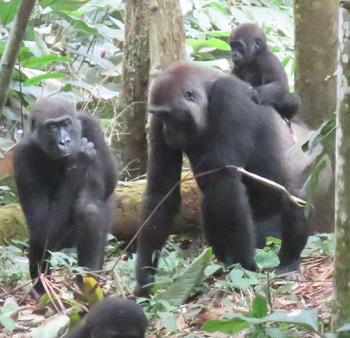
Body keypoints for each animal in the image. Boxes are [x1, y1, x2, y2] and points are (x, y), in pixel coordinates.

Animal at [13, 97, 117, 296]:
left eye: (66, 124)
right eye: (52, 127)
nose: (65, 141)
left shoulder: (91, 125)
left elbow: (107, 183)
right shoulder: (21, 156)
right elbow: (41, 226)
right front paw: (79, 160)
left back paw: (88, 285)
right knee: (40, 240)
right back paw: (43, 291)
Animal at [134, 62, 320, 298]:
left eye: (170, 117)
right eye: (162, 117)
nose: (167, 131)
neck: (207, 94)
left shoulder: (229, 97)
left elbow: (224, 186)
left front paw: (244, 265)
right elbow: (161, 190)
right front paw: (144, 279)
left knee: (294, 199)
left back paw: (289, 262)